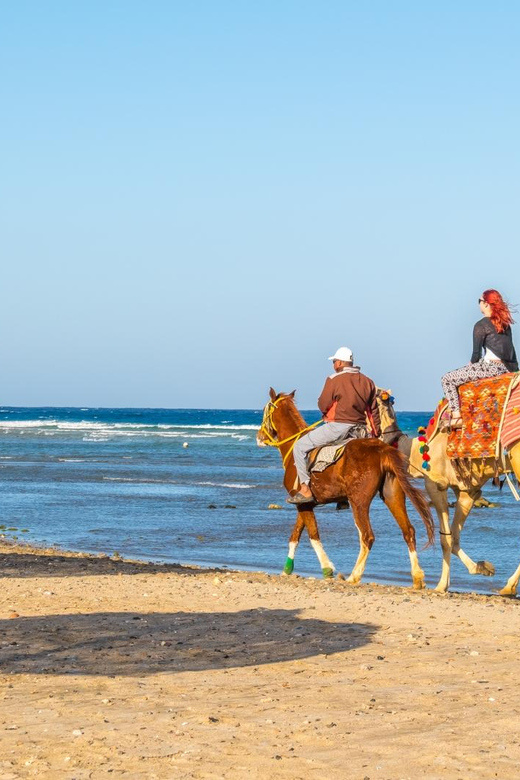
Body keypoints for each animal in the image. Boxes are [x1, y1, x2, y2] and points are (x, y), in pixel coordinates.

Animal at [256, 389, 434, 588]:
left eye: (264, 411)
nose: (259, 437)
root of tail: (382, 451)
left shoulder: (303, 503)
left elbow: (313, 534)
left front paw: (327, 568)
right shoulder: (303, 502)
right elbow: (296, 534)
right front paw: (287, 568)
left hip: (358, 501)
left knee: (367, 536)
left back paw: (354, 575)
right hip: (392, 495)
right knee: (408, 531)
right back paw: (417, 577)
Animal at [376, 389, 520, 595]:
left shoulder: (435, 484)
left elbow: (446, 539)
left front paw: (441, 585)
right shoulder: (467, 490)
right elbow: (454, 537)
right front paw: (483, 567)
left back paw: (508, 587)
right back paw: (508, 586)